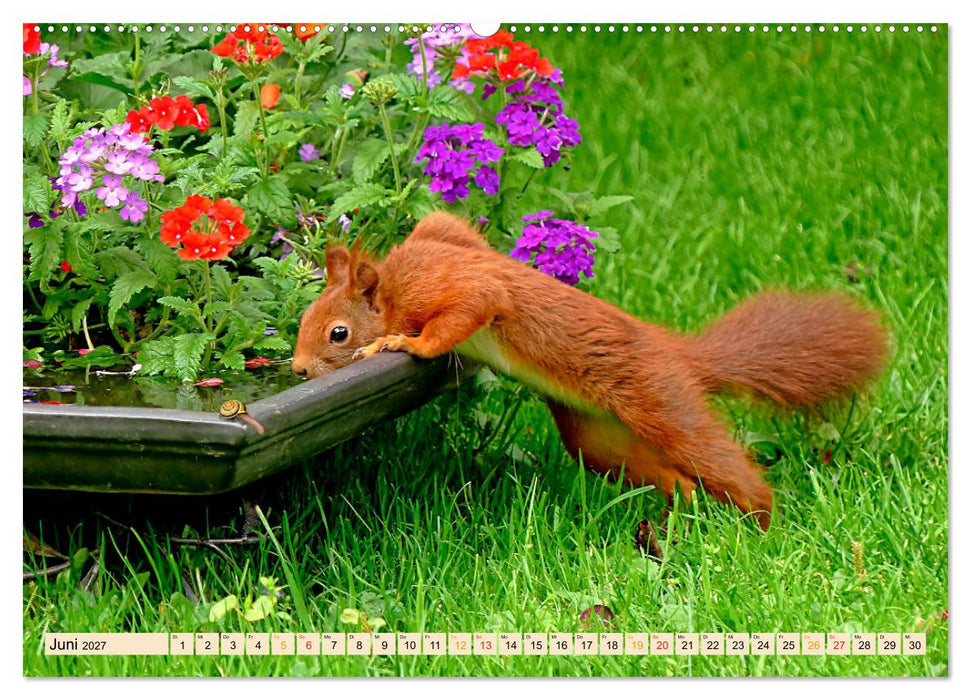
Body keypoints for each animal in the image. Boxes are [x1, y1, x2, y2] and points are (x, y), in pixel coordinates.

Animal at [291, 211, 890, 529]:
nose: (296, 370)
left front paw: (400, 342)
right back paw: (685, 519)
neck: (394, 286)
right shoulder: (444, 232)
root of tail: (678, 355)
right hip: (598, 441)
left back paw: (762, 527)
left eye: (338, 333)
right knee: (671, 478)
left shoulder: (451, 287)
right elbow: (452, 224)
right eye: (304, 318)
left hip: (660, 401)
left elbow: (471, 305)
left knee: (717, 463)